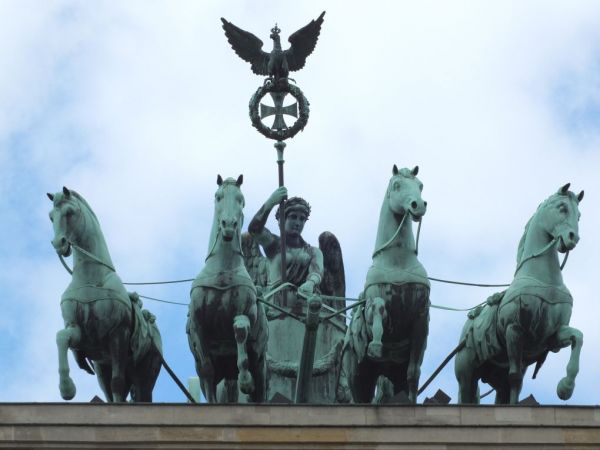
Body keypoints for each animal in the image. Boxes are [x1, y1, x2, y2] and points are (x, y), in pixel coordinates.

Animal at [48, 186, 162, 400]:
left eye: (69, 212)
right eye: (51, 216)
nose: (59, 243)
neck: (91, 277)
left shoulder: (118, 335)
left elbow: (117, 383)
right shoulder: (81, 334)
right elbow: (61, 337)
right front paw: (67, 388)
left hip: (144, 375)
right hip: (102, 368)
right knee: (108, 389)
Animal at [185, 174, 264, 402]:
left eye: (241, 199)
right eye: (218, 197)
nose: (228, 225)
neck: (223, 271)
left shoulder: (246, 313)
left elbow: (240, 329)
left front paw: (245, 381)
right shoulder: (197, 325)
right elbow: (207, 368)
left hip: (260, 365)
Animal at [340, 166, 428, 404]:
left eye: (420, 185)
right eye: (397, 185)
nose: (418, 205)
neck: (397, 261)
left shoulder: (420, 318)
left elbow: (413, 374)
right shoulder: (373, 303)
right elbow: (378, 307)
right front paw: (376, 345)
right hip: (358, 376)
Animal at [458, 183, 584, 404]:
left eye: (579, 216)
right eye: (562, 208)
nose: (573, 238)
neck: (543, 279)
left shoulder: (551, 335)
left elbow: (578, 337)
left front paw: (566, 387)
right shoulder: (514, 329)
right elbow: (515, 378)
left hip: (496, 373)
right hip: (467, 374)